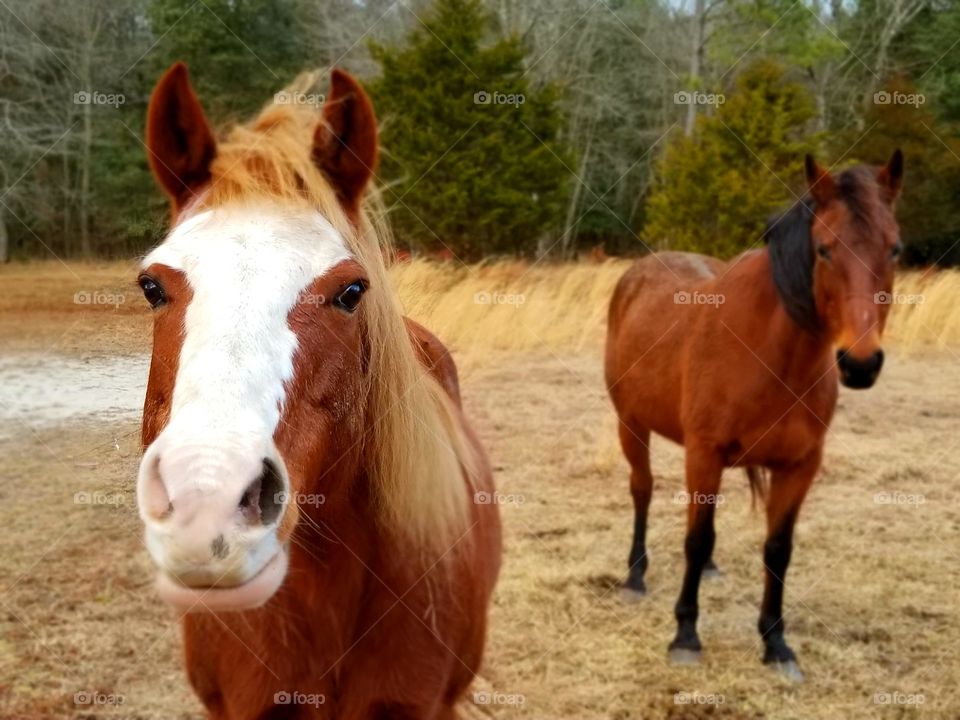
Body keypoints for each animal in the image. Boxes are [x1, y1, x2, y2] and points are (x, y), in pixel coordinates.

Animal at [605, 151, 904, 681]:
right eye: (824, 249)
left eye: (895, 249)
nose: (861, 363)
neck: (771, 355)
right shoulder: (704, 454)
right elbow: (697, 538)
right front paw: (686, 635)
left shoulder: (799, 467)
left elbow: (777, 550)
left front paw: (776, 643)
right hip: (630, 424)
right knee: (642, 490)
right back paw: (636, 575)